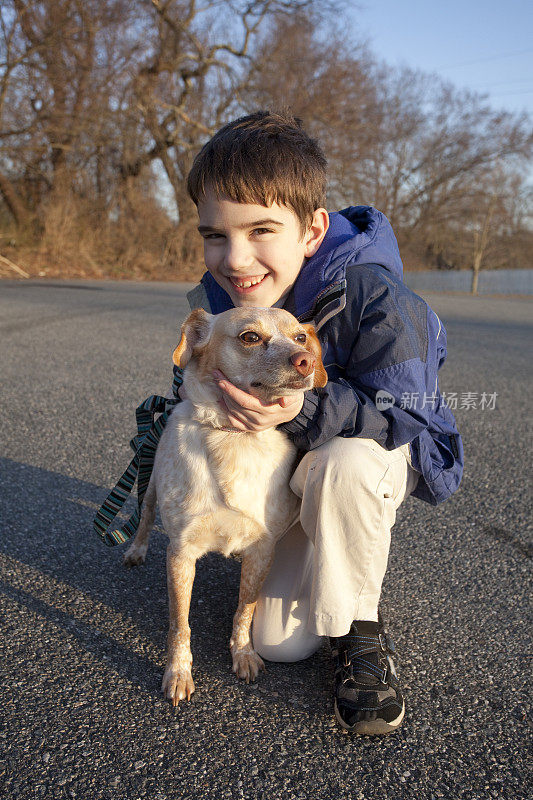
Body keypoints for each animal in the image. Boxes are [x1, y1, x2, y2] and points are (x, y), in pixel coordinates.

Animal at [122, 306, 326, 708]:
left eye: (300, 337)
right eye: (250, 337)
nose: (306, 360)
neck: (234, 438)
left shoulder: (262, 550)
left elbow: (244, 610)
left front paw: (242, 654)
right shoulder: (180, 553)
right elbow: (179, 623)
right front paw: (178, 672)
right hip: (151, 486)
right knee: (145, 517)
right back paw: (136, 550)